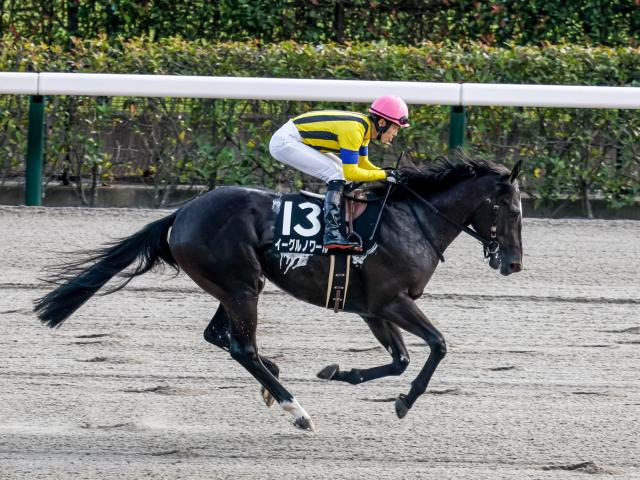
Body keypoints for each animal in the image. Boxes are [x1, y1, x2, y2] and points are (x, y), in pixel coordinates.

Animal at [35, 157, 524, 432]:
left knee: (221, 337)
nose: (514, 264)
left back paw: (274, 382)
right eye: (514, 209)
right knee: (242, 346)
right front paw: (404, 402)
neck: (411, 221)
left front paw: (339, 372)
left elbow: (400, 359)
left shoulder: (373, 308)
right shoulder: (391, 300)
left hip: (236, 284)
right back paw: (296, 409)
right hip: (240, 284)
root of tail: (182, 212)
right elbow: (437, 345)